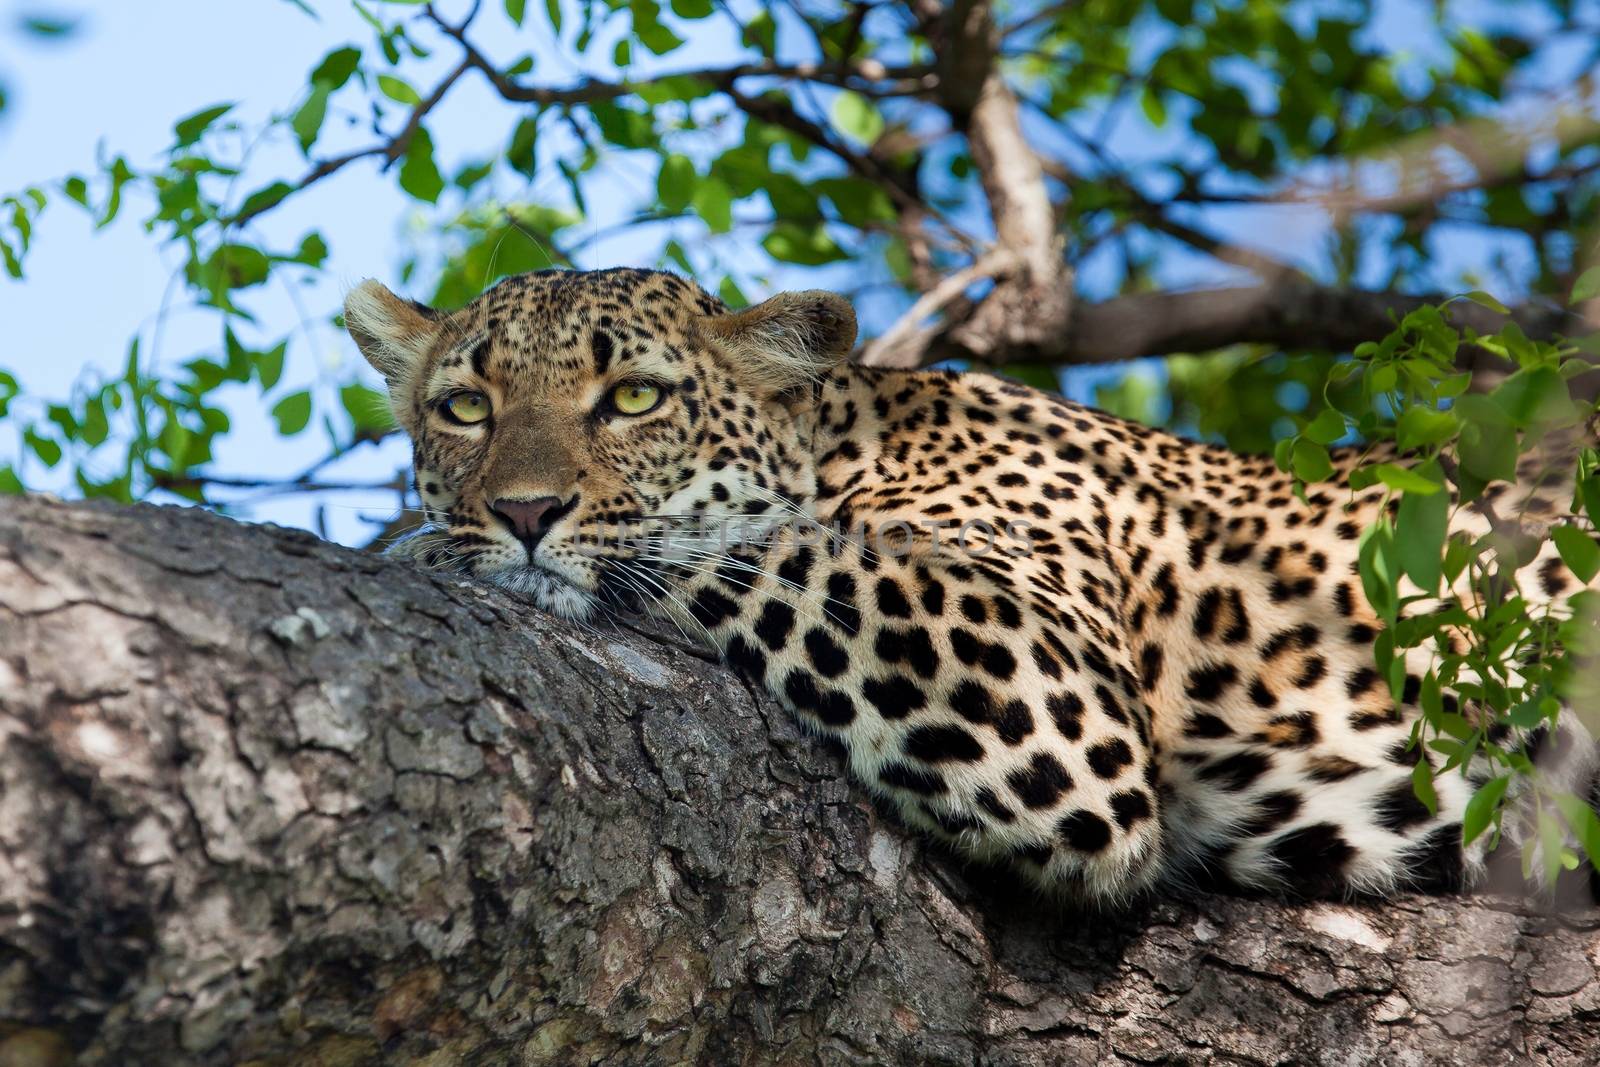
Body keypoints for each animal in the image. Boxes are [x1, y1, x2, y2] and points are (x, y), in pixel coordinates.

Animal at [347, 262, 1600, 908]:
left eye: (636, 399)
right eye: (465, 407)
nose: (520, 513)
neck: (850, 444)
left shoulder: (1043, 670)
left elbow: (760, 549)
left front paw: (421, 550)